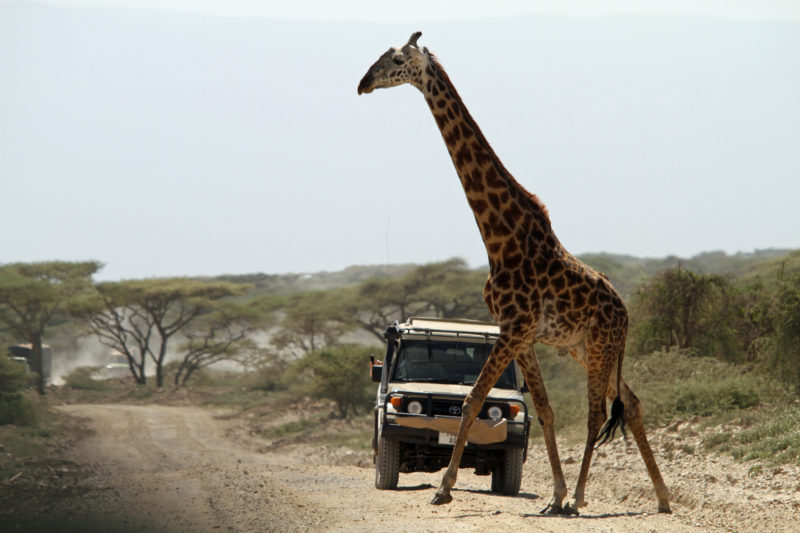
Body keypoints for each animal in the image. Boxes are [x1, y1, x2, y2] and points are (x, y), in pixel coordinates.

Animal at [360, 31, 672, 512]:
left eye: (395, 60)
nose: (363, 83)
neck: (499, 237)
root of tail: (625, 311)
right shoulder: (520, 333)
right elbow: (542, 408)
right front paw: (554, 494)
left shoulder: (514, 327)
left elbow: (473, 400)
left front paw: (445, 489)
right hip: (585, 348)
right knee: (632, 402)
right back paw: (660, 497)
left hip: (601, 345)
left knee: (597, 413)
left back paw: (580, 498)